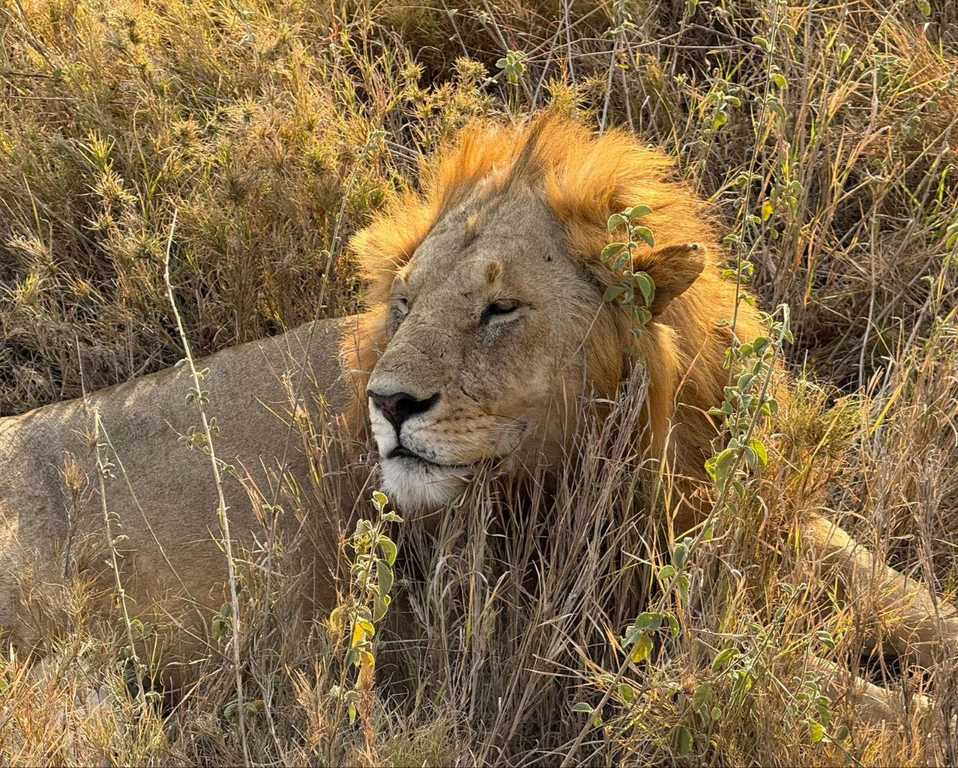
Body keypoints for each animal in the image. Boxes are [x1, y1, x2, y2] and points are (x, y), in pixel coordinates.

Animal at [0, 113, 954, 724]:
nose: (388, 404)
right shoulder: (578, 626)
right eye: (406, 301)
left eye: (499, 309)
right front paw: (914, 710)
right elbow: (799, 679)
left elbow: (894, 589)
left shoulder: (722, 512)